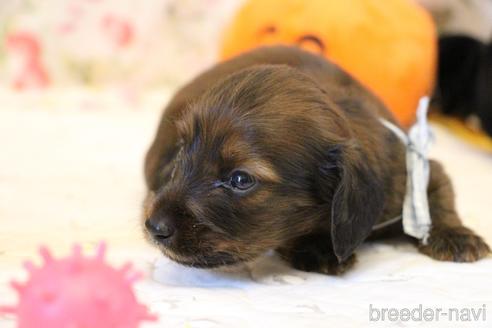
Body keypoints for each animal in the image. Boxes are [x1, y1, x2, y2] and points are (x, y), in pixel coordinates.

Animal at [141, 44, 488, 272]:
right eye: (183, 150)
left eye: (240, 179)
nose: (154, 227)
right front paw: (317, 247)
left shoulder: (415, 168)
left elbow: (437, 198)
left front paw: (457, 236)